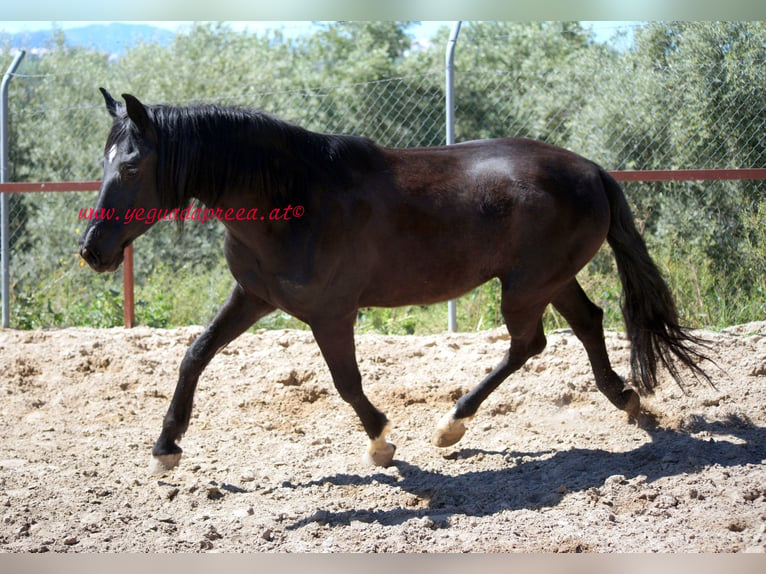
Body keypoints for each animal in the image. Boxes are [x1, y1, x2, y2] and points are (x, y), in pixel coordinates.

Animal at [79, 86, 712, 472]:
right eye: (102, 163)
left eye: (131, 167)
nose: (92, 251)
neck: (293, 197)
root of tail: (592, 170)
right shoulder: (254, 297)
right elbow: (195, 353)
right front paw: (166, 448)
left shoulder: (332, 313)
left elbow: (347, 382)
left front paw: (382, 441)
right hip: (547, 281)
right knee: (585, 323)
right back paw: (626, 399)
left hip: (527, 286)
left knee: (529, 343)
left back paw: (452, 424)